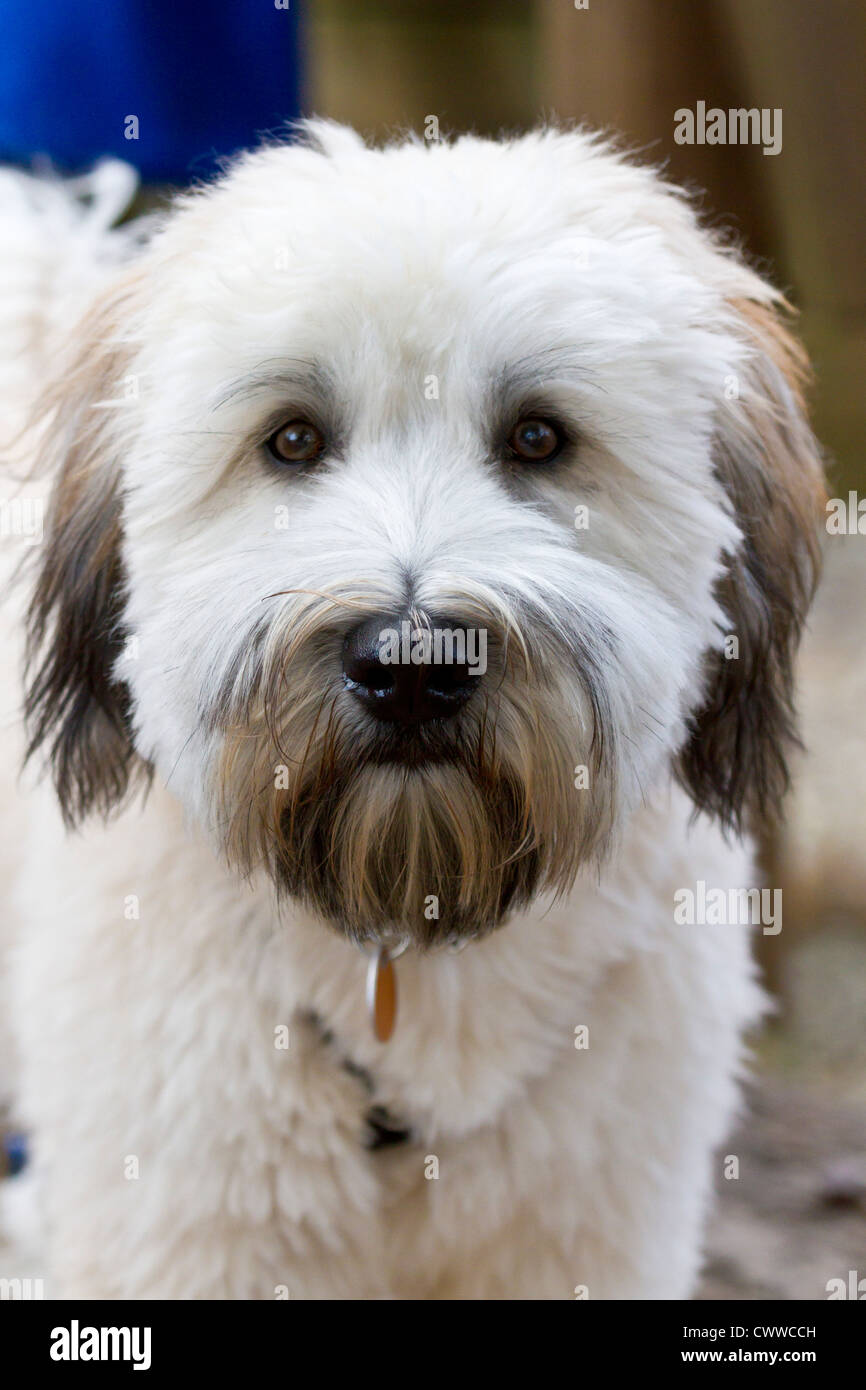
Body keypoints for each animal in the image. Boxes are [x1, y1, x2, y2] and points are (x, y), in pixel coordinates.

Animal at [0, 125, 828, 1295]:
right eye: (292, 440)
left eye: (539, 438)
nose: (410, 668)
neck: (410, 919)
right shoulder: (191, 1231)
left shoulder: (586, 1234)